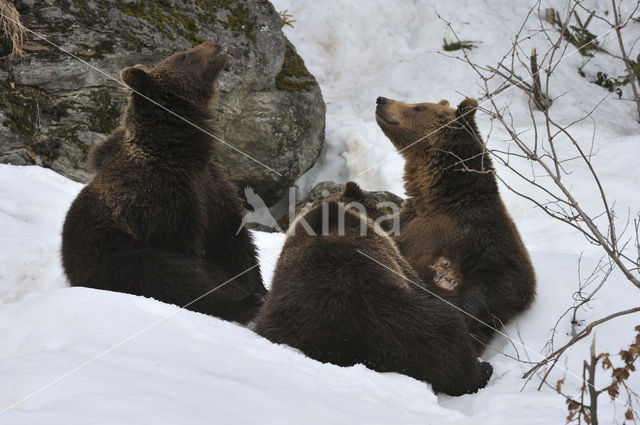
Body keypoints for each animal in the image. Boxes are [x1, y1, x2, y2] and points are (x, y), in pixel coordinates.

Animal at [61, 41, 266, 322]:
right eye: (184, 56)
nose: (215, 43)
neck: (177, 151)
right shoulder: (160, 199)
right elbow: (184, 257)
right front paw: (245, 296)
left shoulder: (211, 186)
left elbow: (235, 241)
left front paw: (261, 288)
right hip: (113, 255)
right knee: (163, 275)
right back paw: (243, 304)